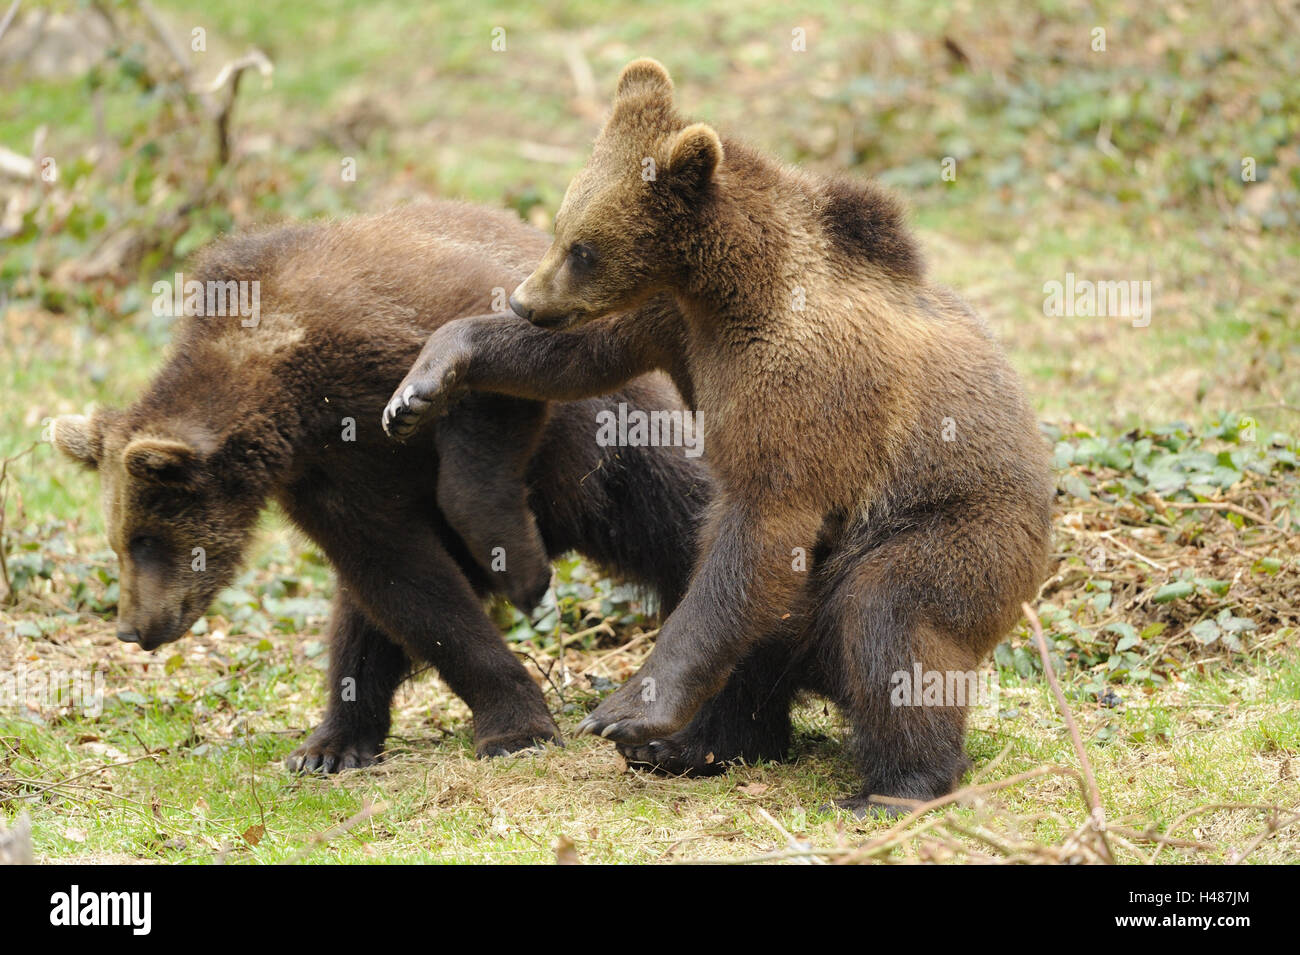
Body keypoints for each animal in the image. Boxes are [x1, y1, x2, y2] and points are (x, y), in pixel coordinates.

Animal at [55, 197, 712, 774]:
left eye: (145, 541)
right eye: (120, 542)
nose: (132, 628)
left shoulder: (404, 334)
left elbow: (492, 393)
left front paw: (519, 578)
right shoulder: (327, 479)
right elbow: (406, 583)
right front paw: (511, 718)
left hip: (619, 447)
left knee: (675, 516)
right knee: (361, 618)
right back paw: (332, 742)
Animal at [384, 59, 1055, 810]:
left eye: (583, 247)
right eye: (560, 226)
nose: (528, 300)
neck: (731, 290)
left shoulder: (806, 390)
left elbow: (762, 525)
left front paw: (626, 709)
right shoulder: (674, 320)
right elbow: (581, 354)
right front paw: (424, 381)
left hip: (951, 532)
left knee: (889, 620)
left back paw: (896, 783)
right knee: (762, 636)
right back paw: (696, 746)